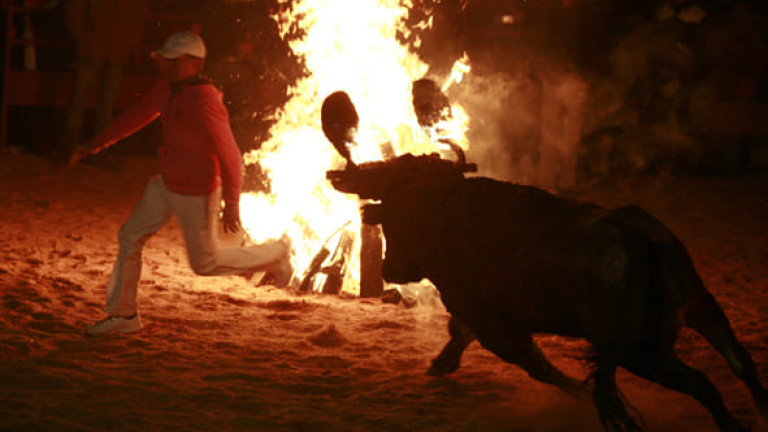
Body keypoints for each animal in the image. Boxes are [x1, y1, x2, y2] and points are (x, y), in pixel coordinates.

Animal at [328, 154, 768, 430]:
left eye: (393, 217)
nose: (390, 270)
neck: (445, 212)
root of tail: (638, 236)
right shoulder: (483, 317)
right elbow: (461, 334)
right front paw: (441, 363)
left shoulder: (497, 327)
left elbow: (539, 367)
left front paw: (578, 394)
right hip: (701, 308)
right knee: (740, 362)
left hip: (646, 353)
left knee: (703, 383)